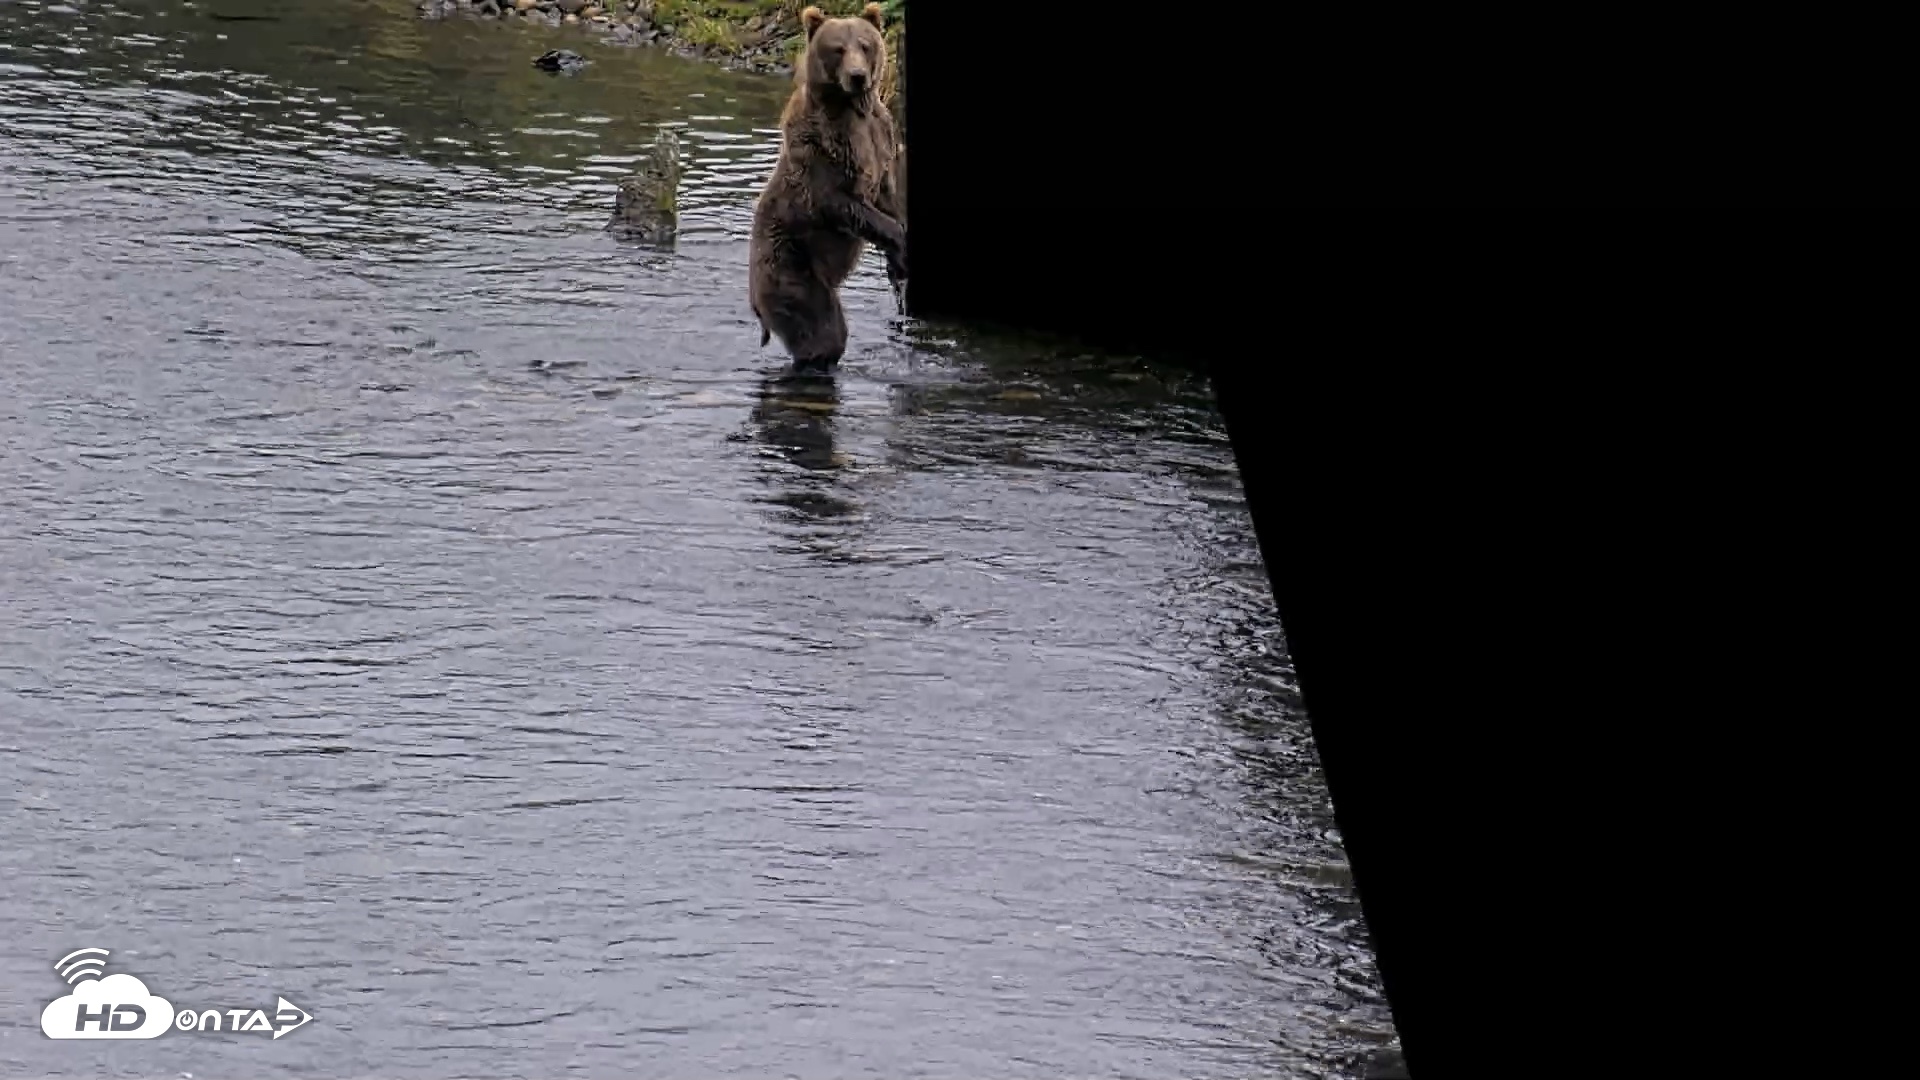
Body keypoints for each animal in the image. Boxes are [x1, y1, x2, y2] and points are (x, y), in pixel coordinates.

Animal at [748, 3, 907, 372]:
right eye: (837, 49)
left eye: (865, 44)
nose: (858, 76)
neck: (854, 109)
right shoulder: (823, 148)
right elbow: (840, 202)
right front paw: (901, 241)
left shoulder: (882, 137)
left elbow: (889, 195)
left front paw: (898, 263)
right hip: (790, 266)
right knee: (821, 330)